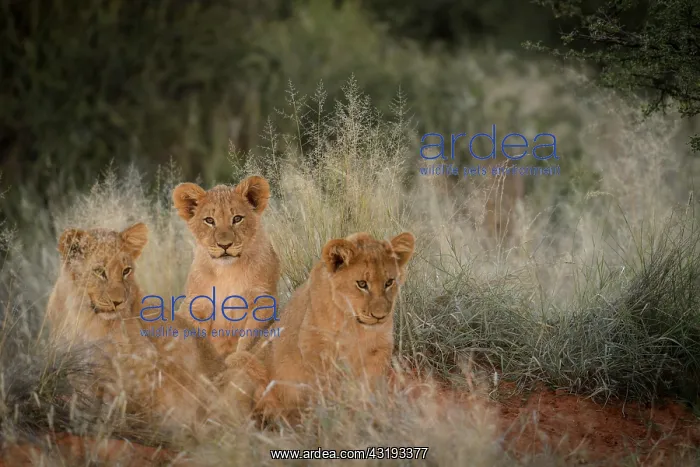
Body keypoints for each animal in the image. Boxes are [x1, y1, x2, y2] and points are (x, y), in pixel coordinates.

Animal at [45, 223, 229, 427]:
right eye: (99, 271)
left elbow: (125, 398)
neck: (82, 314)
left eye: (126, 271)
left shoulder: (143, 359)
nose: (118, 302)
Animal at [172, 176, 281, 357]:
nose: (225, 245)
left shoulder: (263, 301)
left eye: (237, 218)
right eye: (209, 220)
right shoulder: (197, 305)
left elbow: (247, 341)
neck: (227, 271)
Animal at [241, 231, 416, 425]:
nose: (380, 316)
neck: (355, 326)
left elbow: (370, 385)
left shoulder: (380, 348)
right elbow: (325, 387)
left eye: (389, 282)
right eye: (362, 284)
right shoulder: (314, 347)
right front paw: (332, 414)